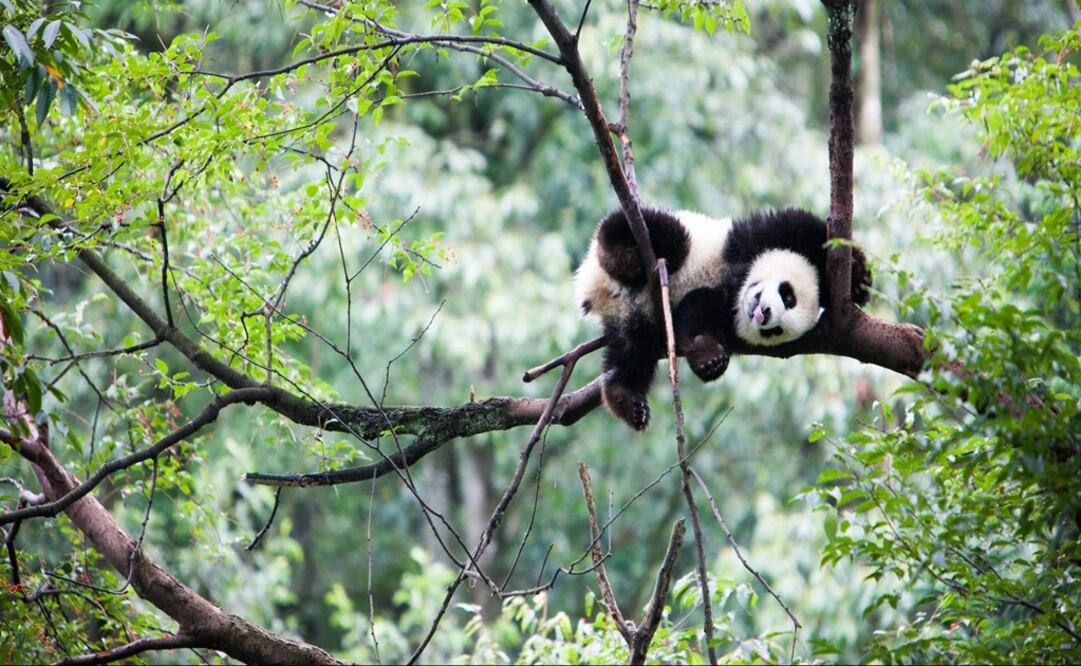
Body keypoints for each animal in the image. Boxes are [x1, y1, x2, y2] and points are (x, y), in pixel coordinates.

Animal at [575, 206, 871, 430]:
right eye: (788, 297)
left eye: (775, 332)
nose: (764, 315)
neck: (737, 288)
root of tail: (602, 291)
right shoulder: (759, 240)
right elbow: (808, 229)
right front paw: (858, 279)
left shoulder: (720, 310)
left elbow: (696, 316)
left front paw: (710, 360)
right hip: (666, 240)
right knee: (652, 232)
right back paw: (623, 257)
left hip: (634, 318)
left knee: (633, 351)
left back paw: (627, 400)